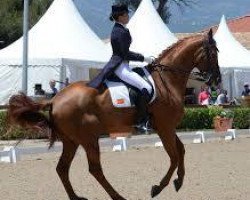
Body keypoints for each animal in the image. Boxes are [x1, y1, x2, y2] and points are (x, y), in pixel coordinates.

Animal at [6, 28, 221, 199]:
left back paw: (77, 197)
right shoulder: (165, 127)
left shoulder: (166, 127)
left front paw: (179, 181)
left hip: (71, 140)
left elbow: (181, 150)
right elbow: (174, 156)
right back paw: (118, 196)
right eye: (213, 53)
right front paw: (158, 188)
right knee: (94, 169)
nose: (217, 80)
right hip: (88, 138)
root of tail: (55, 98)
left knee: (62, 168)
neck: (166, 80)